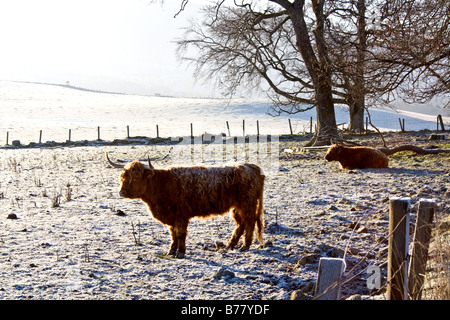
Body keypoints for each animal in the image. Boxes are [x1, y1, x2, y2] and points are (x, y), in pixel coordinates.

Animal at [107, 152, 266, 258]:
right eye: (122, 177)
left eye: (136, 178)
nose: (122, 192)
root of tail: (252, 167)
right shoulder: (172, 216)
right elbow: (173, 234)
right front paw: (171, 251)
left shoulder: (181, 215)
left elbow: (180, 233)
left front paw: (181, 252)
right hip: (236, 207)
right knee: (241, 223)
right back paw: (230, 245)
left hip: (247, 203)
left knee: (250, 222)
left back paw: (245, 246)